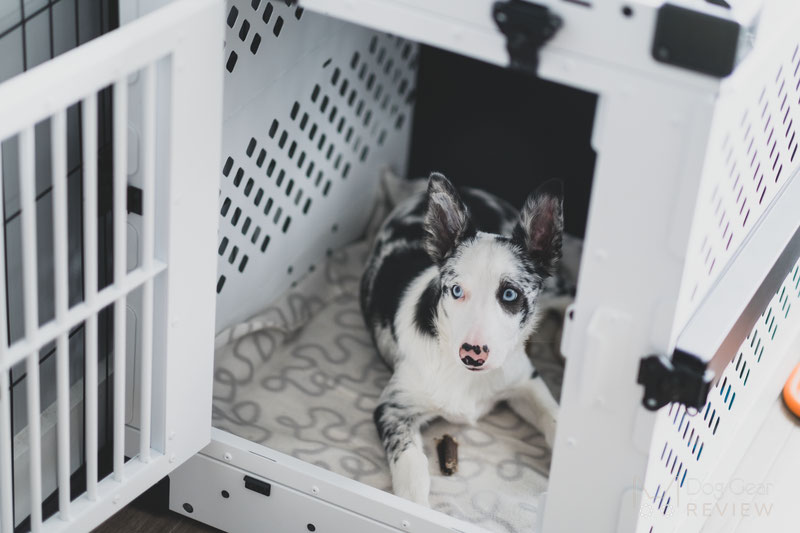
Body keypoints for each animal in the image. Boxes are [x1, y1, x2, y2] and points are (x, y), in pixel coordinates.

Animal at [360, 174, 564, 502]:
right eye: (456, 291)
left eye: (510, 294)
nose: (472, 353)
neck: (467, 376)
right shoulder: (394, 408)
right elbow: (411, 466)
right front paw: (413, 504)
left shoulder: (526, 381)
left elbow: (554, 416)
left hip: (556, 287)